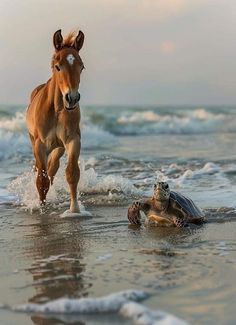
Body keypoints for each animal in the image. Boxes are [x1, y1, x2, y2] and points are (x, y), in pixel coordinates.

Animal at [26, 29, 85, 211]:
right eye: (58, 67)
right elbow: (41, 180)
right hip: (35, 143)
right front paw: (41, 207)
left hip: (58, 148)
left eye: (81, 67)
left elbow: (72, 173)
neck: (57, 110)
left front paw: (74, 210)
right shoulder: (40, 145)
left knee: (53, 168)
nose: (72, 98)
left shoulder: (73, 140)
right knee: (41, 171)